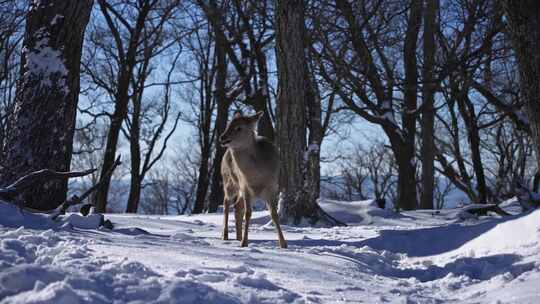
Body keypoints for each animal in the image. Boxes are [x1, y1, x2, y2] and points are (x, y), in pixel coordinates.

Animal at [218, 110, 288, 248]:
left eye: (239, 128)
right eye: (228, 124)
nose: (222, 137)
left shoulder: (272, 186)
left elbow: (274, 214)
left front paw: (283, 243)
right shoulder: (245, 186)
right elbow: (248, 213)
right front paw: (244, 242)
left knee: (237, 206)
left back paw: (238, 236)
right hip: (229, 181)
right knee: (226, 203)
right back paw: (225, 235)